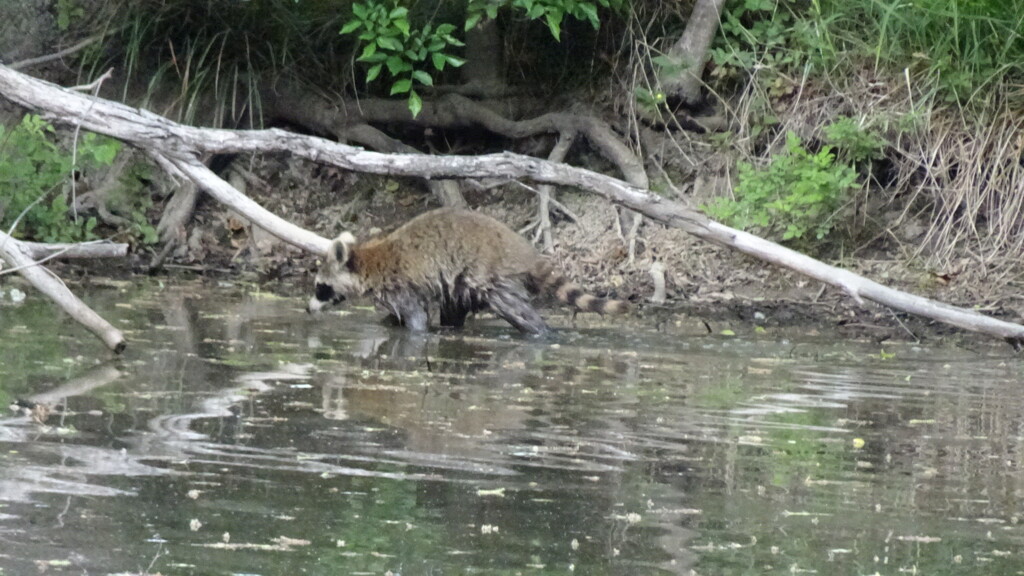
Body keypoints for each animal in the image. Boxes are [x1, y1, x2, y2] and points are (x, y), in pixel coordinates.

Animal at [307, 206, 626, 332]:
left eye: (321, 287)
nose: (308, 309)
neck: (368, 260)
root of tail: (523, 251)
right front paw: (388, 324)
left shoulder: (399, 286)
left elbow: (416, 320)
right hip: (462, 284)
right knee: (453, 309)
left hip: (491, 275)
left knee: (517, 311)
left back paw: (539, 331)